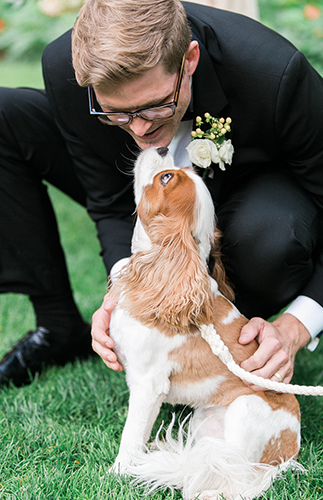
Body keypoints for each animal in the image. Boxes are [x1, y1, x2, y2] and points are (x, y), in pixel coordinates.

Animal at [109, 146, 302, 498]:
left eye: (166, 178)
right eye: (176, 171)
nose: (162, 148)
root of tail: (289, 454)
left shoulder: (147, 384)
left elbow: (131, 435)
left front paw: (118, 473)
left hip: (244, 410)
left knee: (238, 476)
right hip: (204, 421)